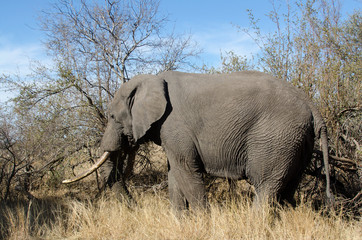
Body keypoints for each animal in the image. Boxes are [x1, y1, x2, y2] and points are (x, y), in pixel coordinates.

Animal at [63, 71, 334, 210]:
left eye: (111, 116)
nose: (136, 207)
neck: (151, 78)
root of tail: (312, 105)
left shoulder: (175, 125)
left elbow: (186, 171)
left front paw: (202, 219)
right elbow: (174, 174)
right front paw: (179, 220)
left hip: (275, 138)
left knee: (266, 186)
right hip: (296, 140)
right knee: (287, 189)